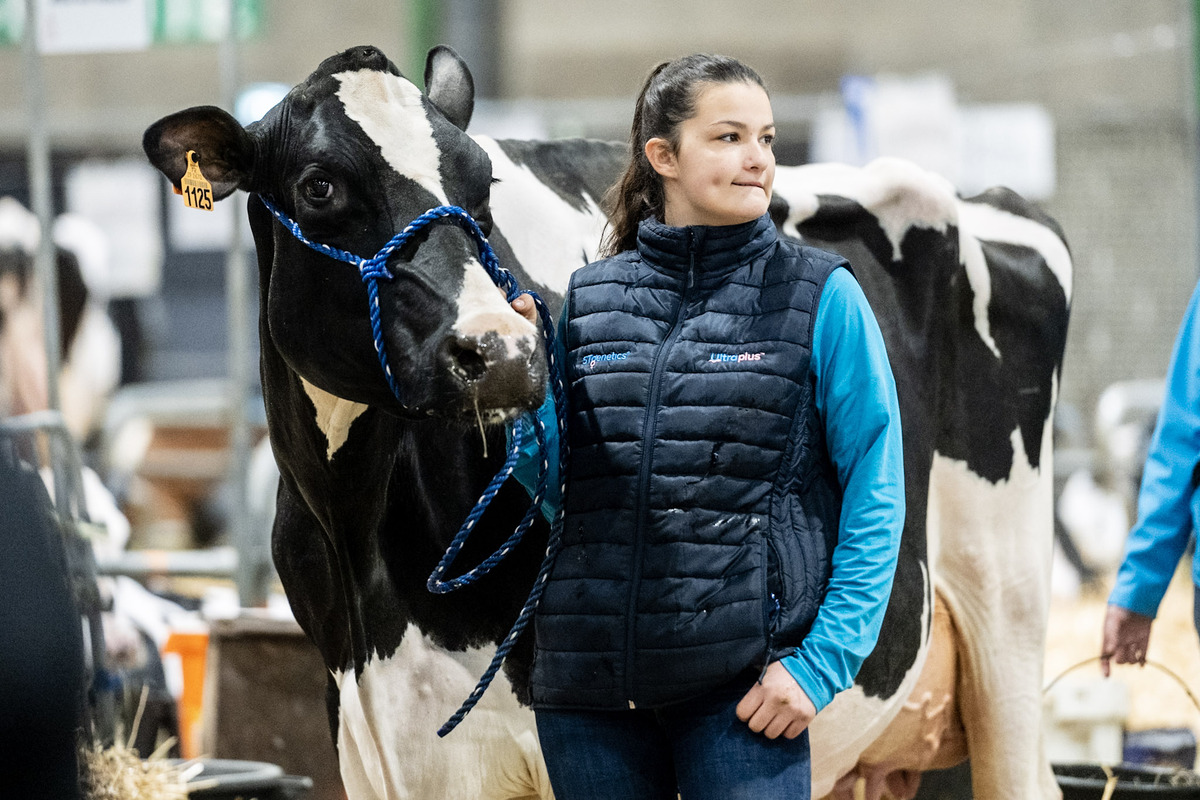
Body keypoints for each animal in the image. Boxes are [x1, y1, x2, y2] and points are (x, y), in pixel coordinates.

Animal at [145, 45, 1075, 800]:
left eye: (480, 181)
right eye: (319, 185)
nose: (505, 350)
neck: (355, 530)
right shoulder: (376, 740)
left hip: (1009, 622)